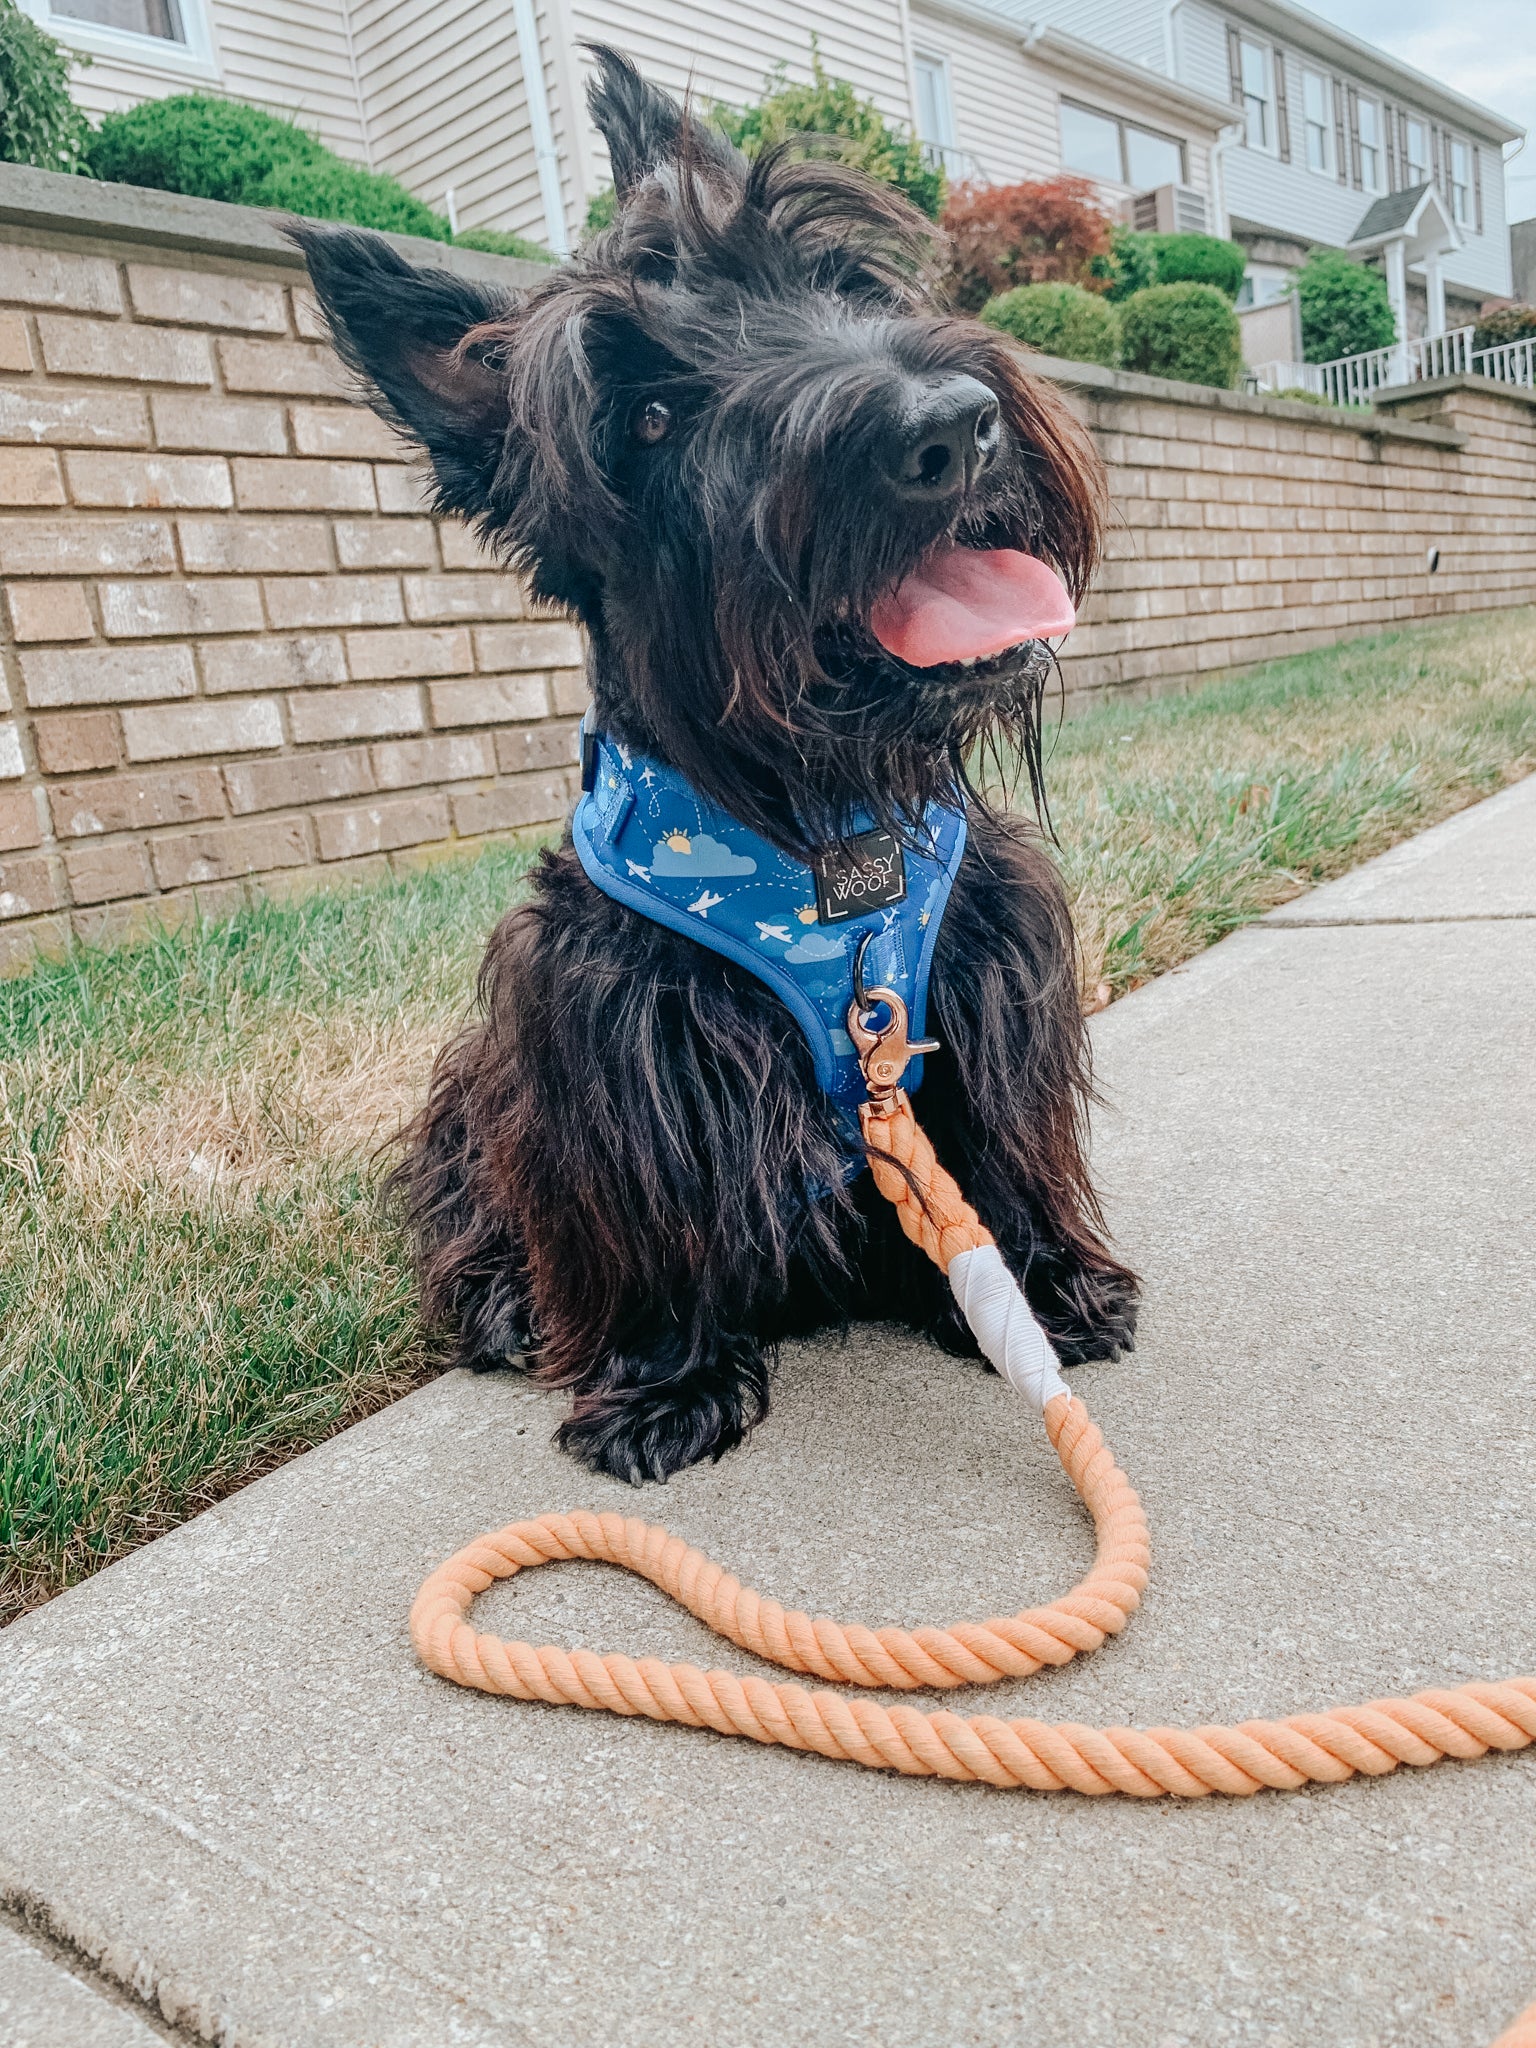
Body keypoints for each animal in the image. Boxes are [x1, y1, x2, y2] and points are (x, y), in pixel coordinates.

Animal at [296, 44, 1146, 1490]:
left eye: (837, 281)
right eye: (644, 416)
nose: (951, 429)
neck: (820, 824)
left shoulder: (982, 987)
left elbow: (1003, 1150)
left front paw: (1041, 1283)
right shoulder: (593, 1041)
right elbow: (633, 1217)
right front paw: (659, 1383)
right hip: (473, 1094)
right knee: (472, 1216)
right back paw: (510, 1300)